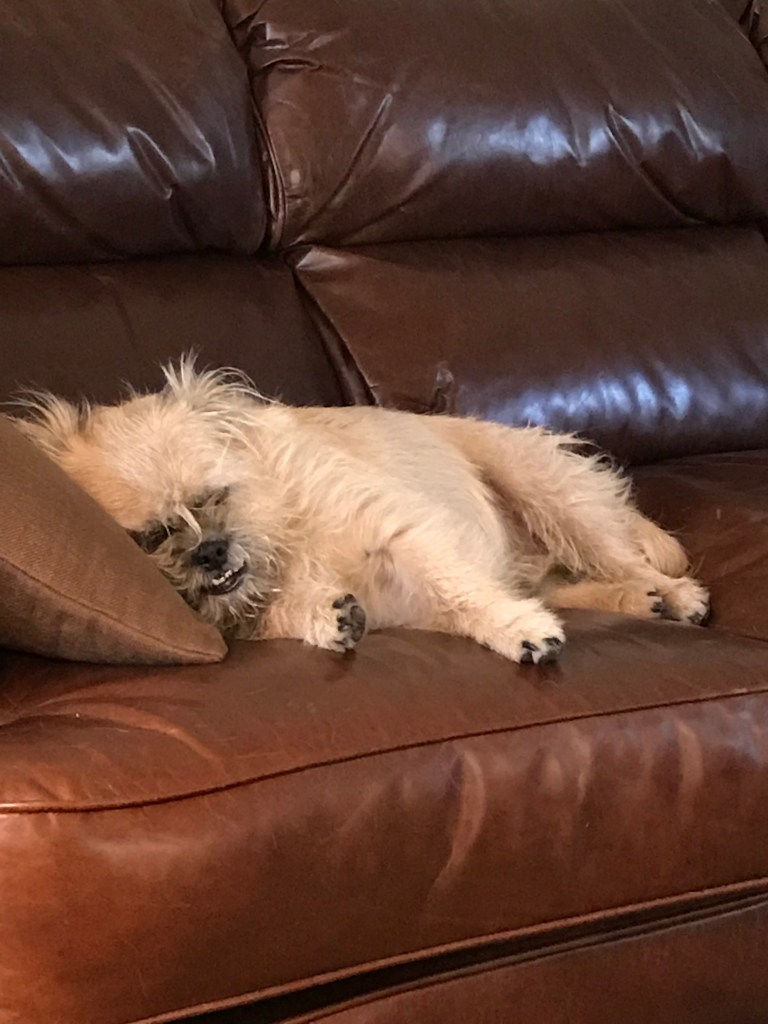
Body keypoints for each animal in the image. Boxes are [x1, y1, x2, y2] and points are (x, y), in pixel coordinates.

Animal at [11, 359, 710, 664]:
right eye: (153, 536)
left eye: (215, 497)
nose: (210, 551)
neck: (282, 536)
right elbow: (279, 616)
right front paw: (326, 617)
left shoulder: (405, 531)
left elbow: (462, 590)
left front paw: (515, 630)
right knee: (567, 582)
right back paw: (638, 601)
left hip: (544, 489)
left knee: (618, 555)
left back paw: (668, 592)